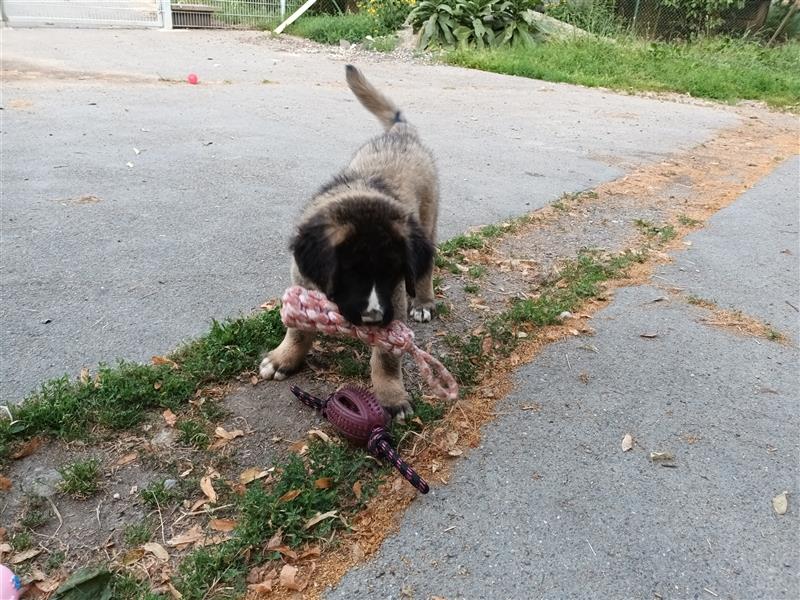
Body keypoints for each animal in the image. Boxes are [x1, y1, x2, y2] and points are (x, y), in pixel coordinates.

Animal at [260, 63, 438, 420]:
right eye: (348, 273)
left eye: (392, 273)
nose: (373, 318)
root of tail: (401, 133)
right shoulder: (301, 280)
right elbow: (299, 329)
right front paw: (285, 358)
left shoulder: (394, 299)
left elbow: (387, 356)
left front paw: (391, 395)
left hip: (428, 219)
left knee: (425, 268)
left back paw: (424, 302)